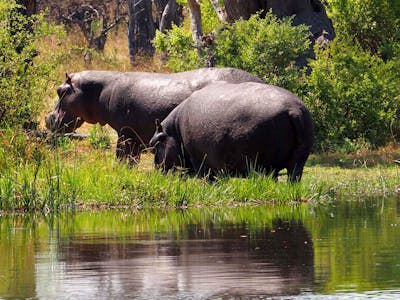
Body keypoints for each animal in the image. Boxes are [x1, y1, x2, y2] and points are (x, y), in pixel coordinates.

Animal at [44, 67, 262, 163]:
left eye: (60, 90)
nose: (48, 118)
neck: (99, 91)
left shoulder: (126, 134)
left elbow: (122, 158)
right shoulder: (135, 137)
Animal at [148, 81, 314, 182]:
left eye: (154, 144)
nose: (155, 166)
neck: (173, 131)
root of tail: (293, 109)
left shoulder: (201, 162)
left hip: (264, 163)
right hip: (298, 161)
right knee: (293, 177)